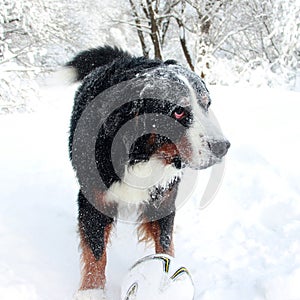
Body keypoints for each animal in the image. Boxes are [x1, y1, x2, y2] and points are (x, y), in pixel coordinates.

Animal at [65, 45, 230, 298]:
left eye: (207, 104)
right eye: (178, 112)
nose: (223, 147)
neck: (141, 154)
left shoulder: (163, 198)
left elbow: (165, 240)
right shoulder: (93, 197)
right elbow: (95, 249)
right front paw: (91, 290)